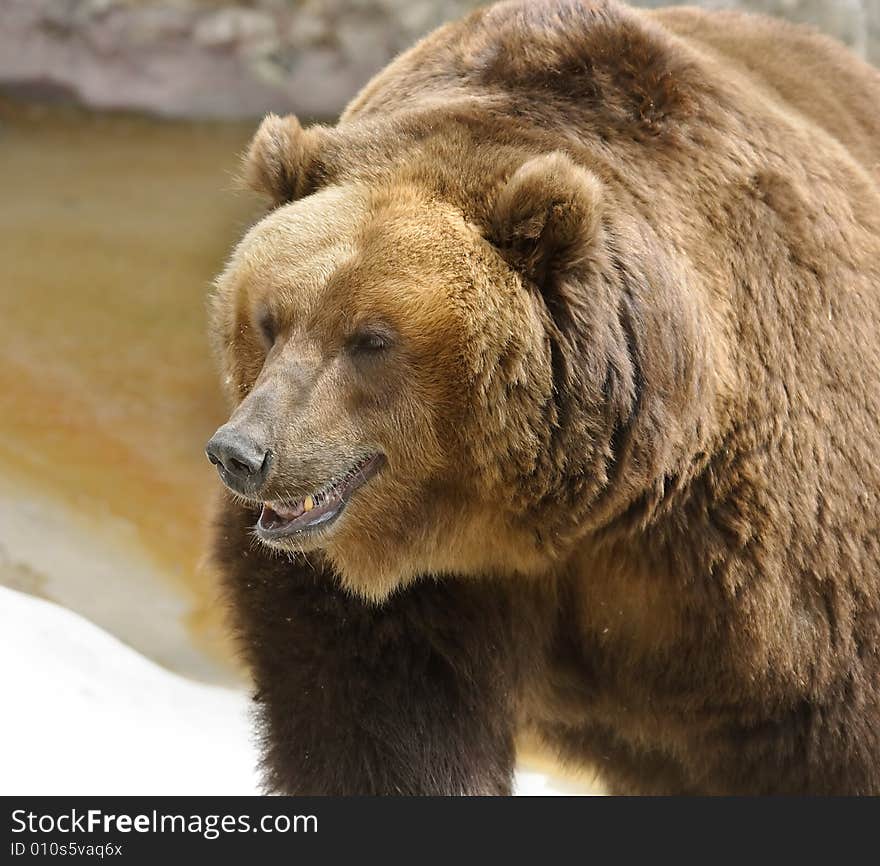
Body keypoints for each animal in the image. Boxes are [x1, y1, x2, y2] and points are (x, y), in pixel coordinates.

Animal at [205, 0, 880, 796]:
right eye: (269, 319)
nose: (242, 453)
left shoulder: (774, 566)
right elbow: (374, 717)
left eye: (371, 338)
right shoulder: (421, 593)